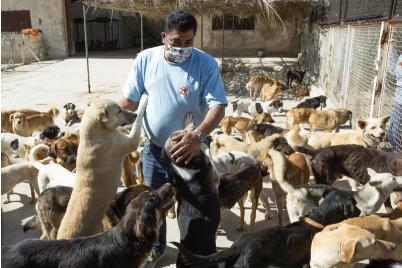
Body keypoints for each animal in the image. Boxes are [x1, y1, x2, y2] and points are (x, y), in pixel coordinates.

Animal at [57, 96, 148, 239]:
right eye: (119, 110)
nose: (134, 114)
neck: (94, 133)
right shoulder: (130, 141)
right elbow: (136, 124)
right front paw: (144, 100)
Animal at [160, 127, 220, 266]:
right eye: (184, 131)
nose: (193, 127)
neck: (182, 166)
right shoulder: (214, 173)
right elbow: (207, 152)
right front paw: (203, 143)